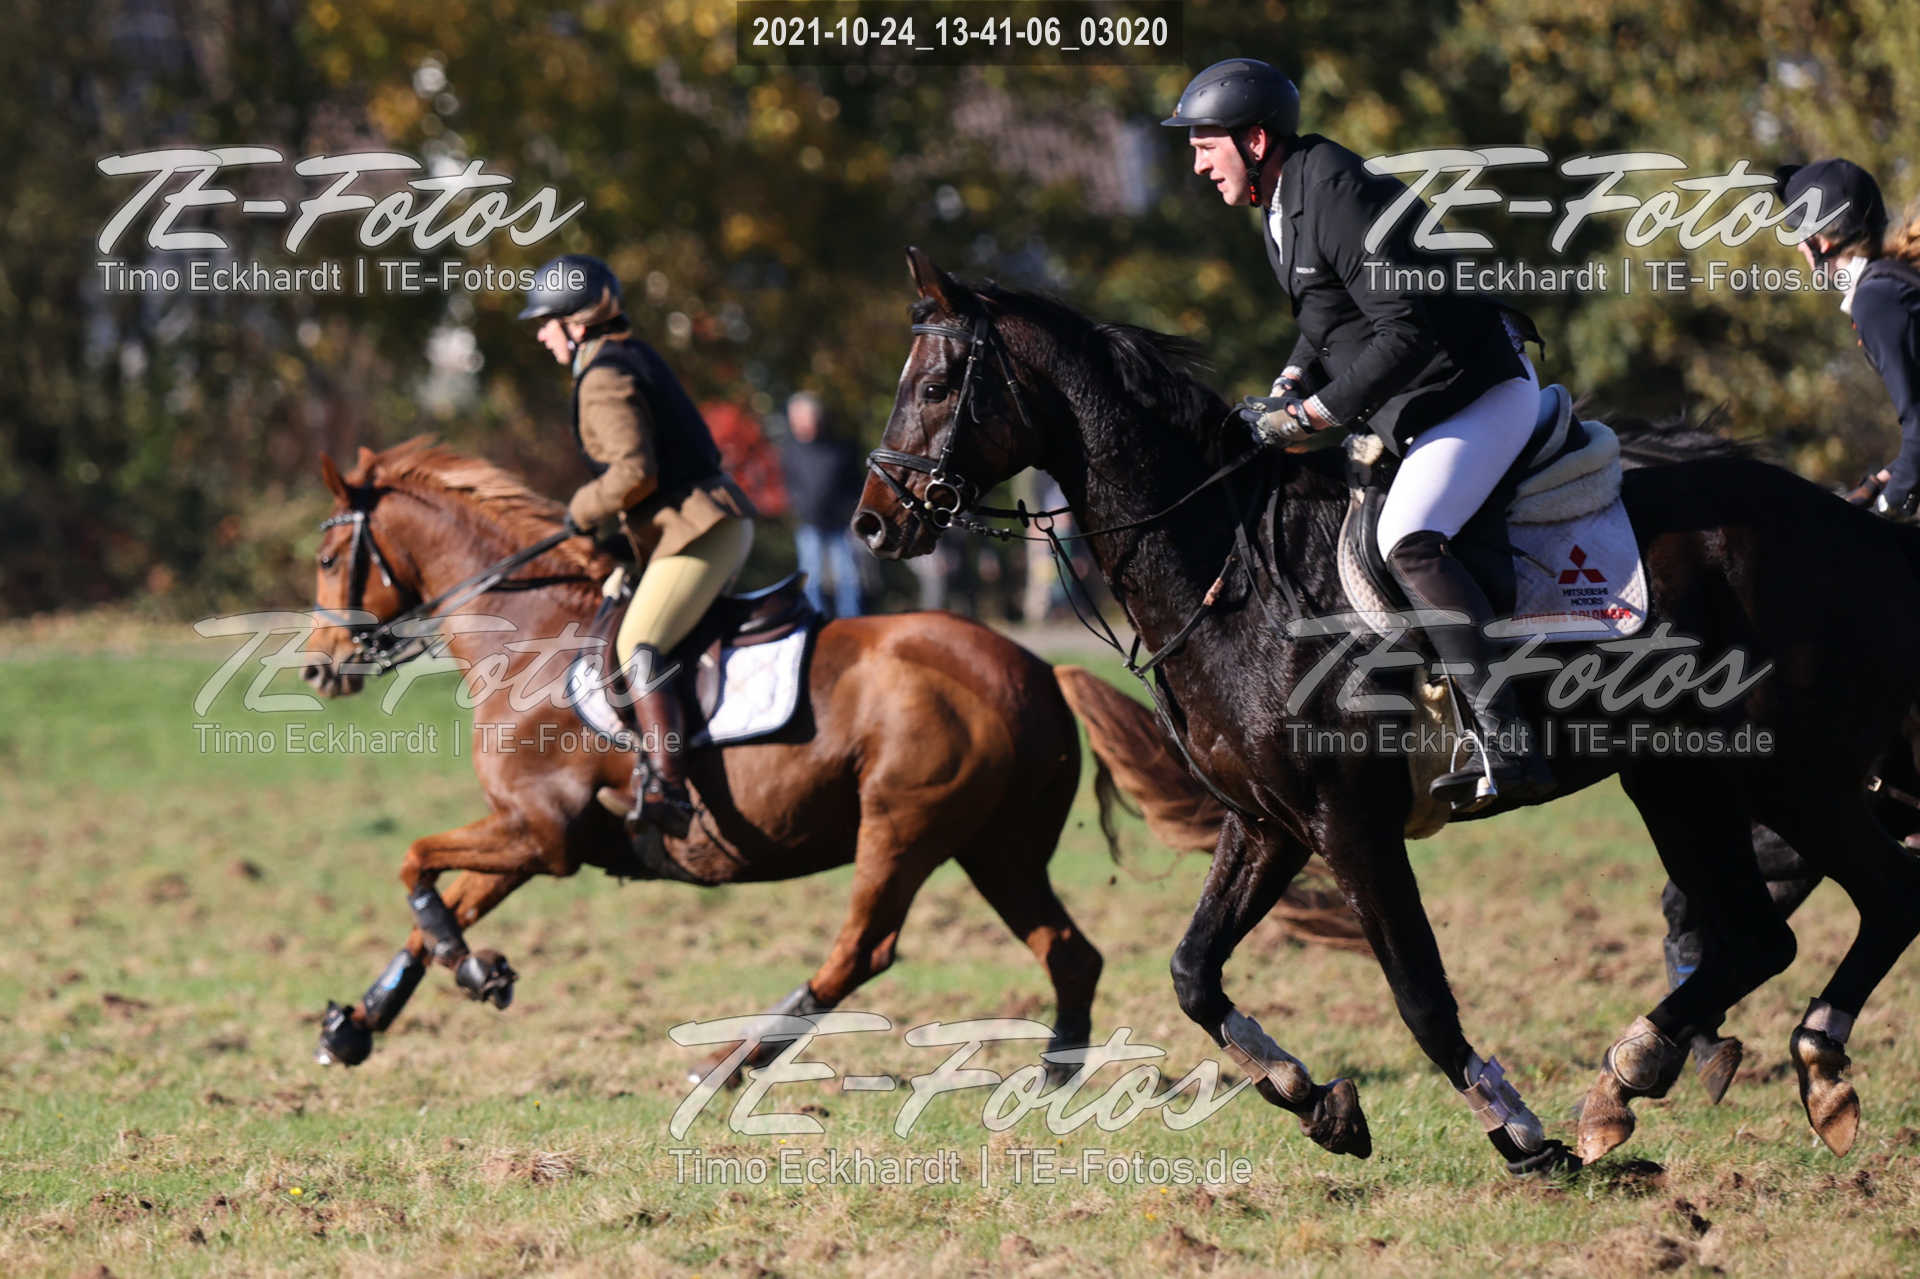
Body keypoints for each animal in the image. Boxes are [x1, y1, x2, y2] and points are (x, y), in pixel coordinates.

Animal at [300, 437, 1128, 1080]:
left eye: (330, 556)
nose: (317, 666)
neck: (530, 636)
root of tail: (1035, 669)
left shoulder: (542, 833)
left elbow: (414, 862)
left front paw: (468, 969)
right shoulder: (532, 835)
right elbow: (442, 901)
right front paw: (364, 1019)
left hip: (903, 829)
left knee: (863, 948)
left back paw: (731, 1062)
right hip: (998, 849)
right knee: (1070, 952)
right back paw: (1054, 1076)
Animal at [856, 247, 1920, 1173]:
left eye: (939, 387)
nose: (875, 519)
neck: (1233, 574)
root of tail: (1852, 526)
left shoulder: (1349, 825)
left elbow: (1420, 993)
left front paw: (1516, 1132)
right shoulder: (1269, 823)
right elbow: (1194, 969)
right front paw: (1308, 1094)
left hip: (1786, 769)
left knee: (1875, 893)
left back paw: (1794, 1063)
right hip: (1685, 778)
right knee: (1764, 929)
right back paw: (1641, 1075)